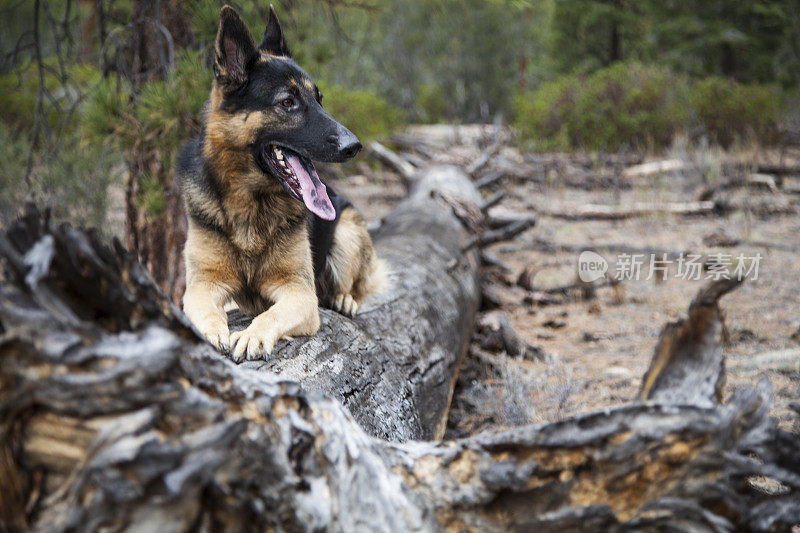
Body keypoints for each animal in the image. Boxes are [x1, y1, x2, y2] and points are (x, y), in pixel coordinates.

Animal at [178, 4, 384, 360]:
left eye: (319, 99)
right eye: (288, 102)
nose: (354, 146)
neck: (250, 203)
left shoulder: (299, 292)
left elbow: (270, 313)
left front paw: (253, 335)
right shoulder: (202, 286)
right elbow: (204, 310)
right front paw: (213, 330)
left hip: (347, 231)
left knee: (352, 284)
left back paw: (344, 298)